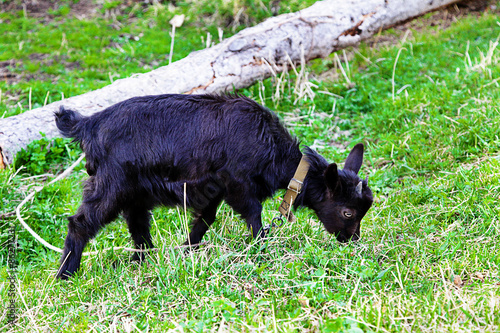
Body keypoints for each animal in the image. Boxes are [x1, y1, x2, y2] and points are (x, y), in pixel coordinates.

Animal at [55, 92, 376, 278]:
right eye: (348, 212)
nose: (352, 241)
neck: (271, 147)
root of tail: (90, 124)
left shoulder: (213, 190)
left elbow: (204, 220)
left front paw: (186, 251)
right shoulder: (237, 185)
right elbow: (254, 217)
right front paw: (261, 249)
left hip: (134, 192)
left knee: (138, 225)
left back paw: (144, 261)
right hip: (112, 186)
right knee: (80, 223)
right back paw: (65, 274)